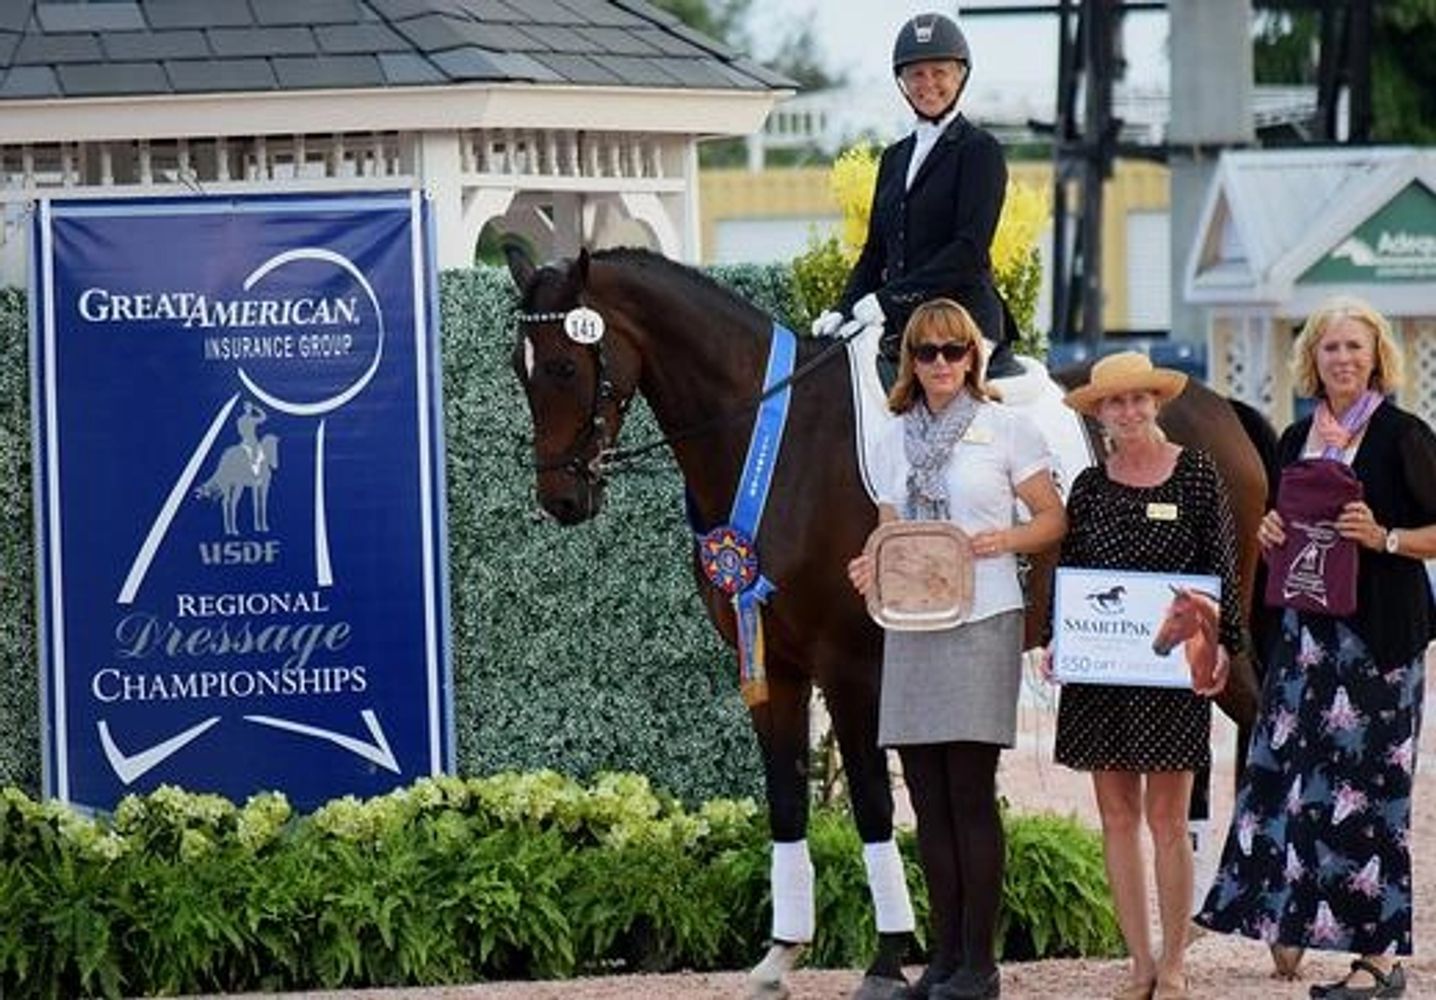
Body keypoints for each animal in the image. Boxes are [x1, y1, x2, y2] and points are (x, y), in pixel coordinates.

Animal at [505, 244, 1269, 1000]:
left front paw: (888, 957)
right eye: (519, 367)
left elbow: (873, 804)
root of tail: (1219, 406)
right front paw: (780, 954)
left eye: (567, 366)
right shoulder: (772, 663)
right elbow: (786, 801)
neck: (776, 442)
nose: (561, 499)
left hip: (1217, 633)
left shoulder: (849, 667)